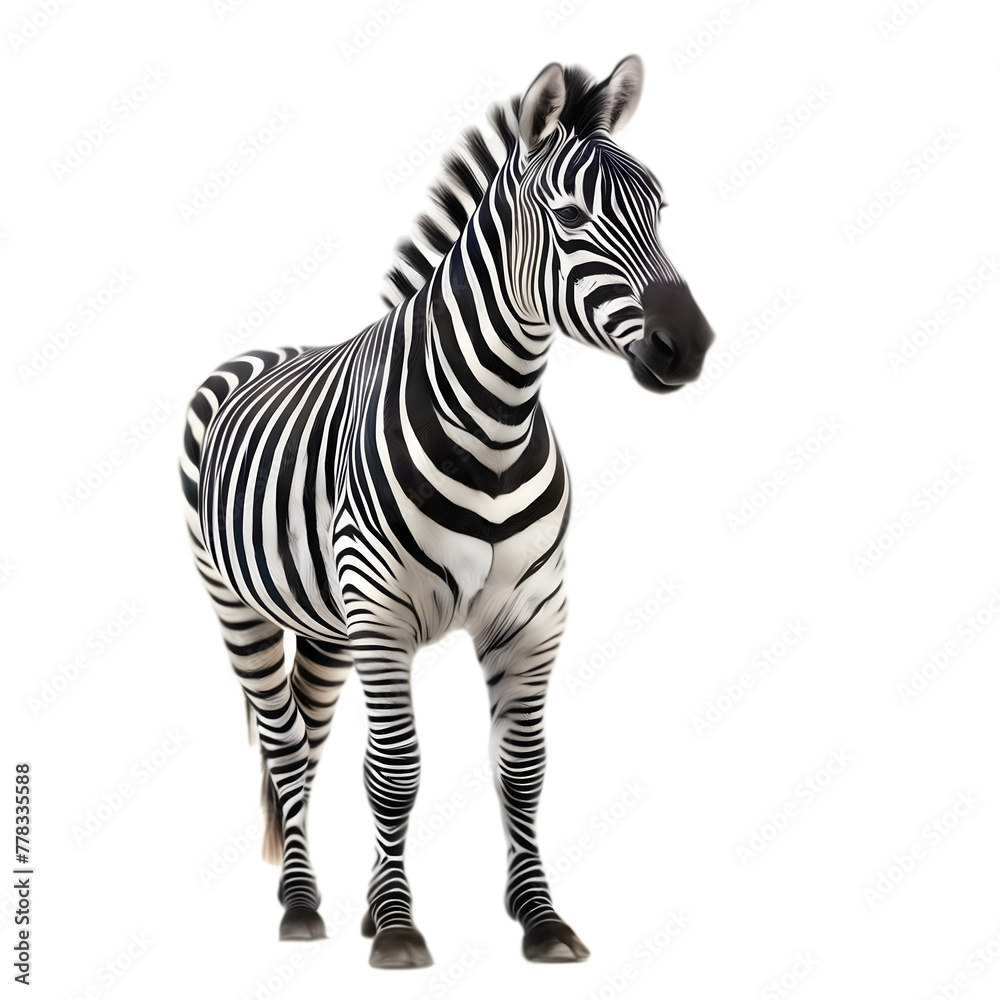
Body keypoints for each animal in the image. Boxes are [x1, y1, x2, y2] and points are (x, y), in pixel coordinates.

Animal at [180, 55, 714, 968]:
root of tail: (267, 347)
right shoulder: (382, 615)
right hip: (237, 605)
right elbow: (394, 772)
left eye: (660, 208)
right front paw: (398, 928)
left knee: (312, 741)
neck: (495, 422)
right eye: (571, 216)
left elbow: (523, 771)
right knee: (287, 748)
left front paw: (540, 919)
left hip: (327, 626)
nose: (692, 347)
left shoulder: (534, 616)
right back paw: (301, 907)